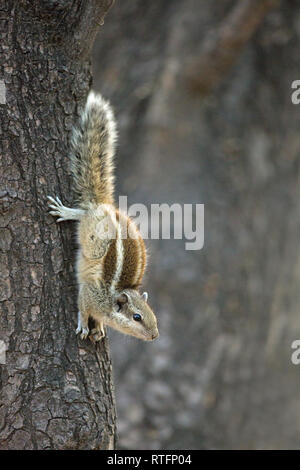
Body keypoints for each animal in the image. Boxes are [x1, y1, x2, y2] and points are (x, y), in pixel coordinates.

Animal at [47, 91, 158, 342]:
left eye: (153, 315)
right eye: (137, 317)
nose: (155, 336)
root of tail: (104, 205)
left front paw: (99, 327)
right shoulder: (89, 292)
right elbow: (82, 307)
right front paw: (84, 325)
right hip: (92, 231)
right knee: (84, 213)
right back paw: (67, 211)